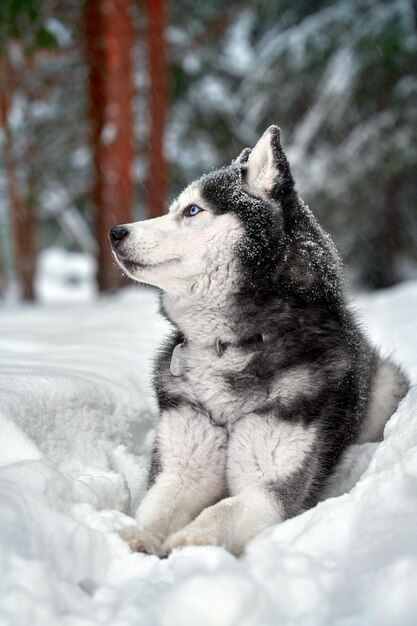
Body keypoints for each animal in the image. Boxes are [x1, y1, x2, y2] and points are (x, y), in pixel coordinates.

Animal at [109, 124, 408, 552]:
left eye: (193, 211)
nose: (115, 232)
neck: (232, 344)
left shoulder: (268, 489)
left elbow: (220, 511)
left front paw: (191, 541)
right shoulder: (183, 468)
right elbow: (158, 508)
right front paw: (139, 538)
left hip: (386, 388)